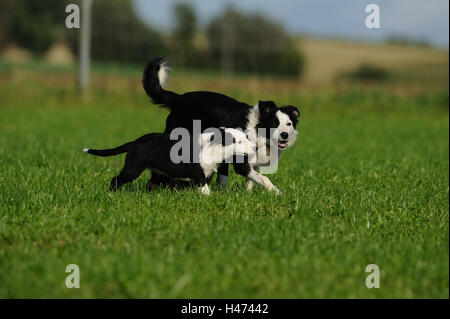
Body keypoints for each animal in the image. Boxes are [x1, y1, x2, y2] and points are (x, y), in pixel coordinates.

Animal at [82, 127, 255, 195]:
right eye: (239, 142)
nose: (255, 147)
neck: (214, 147)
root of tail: (134, 143)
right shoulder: (199, 175)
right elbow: (205, 190)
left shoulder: (206, 173)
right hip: (133, 168)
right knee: (116, 179)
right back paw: (112, 193)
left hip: (157, 173)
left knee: (150, 184)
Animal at [142, 57, 300, 194]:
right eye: (274, 123)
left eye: (289, 124)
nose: (284, 135)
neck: (258, 130)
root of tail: (179, 98)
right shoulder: (241, 164)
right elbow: (263, 178)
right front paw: (277, 192)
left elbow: (250, 181)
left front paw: (247, 194)